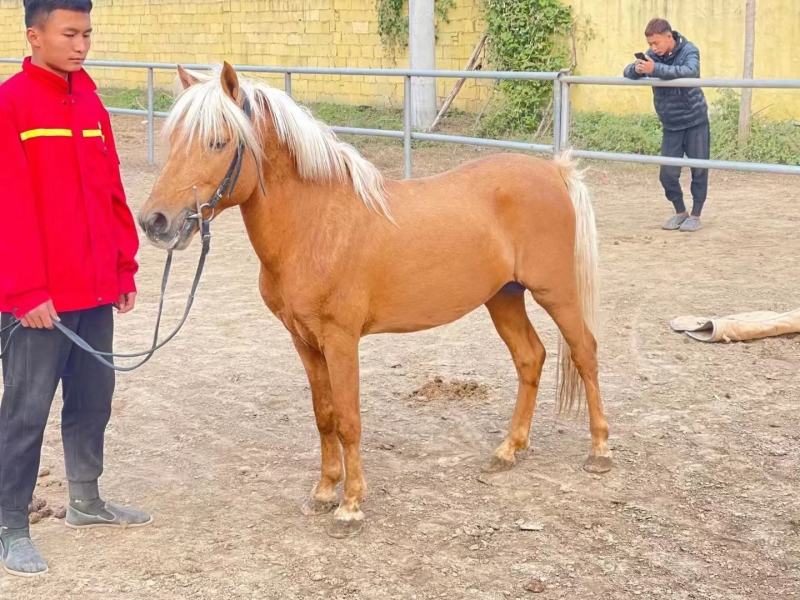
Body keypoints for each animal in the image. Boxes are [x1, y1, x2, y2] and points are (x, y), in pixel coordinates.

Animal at [139, 62, 611, 538]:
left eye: (218, 141)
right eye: (173, 138)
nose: (155, 221)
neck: (316, 225)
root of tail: (552, 172)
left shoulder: (340, 339)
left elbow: (349, 420)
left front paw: (350, 506)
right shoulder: (304, 340)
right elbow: (324, 414)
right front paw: (324, 492)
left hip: (556, 292)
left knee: (585, 352)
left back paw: (599, 452)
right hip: (504, 298)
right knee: (530, 357)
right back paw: (509, 450)